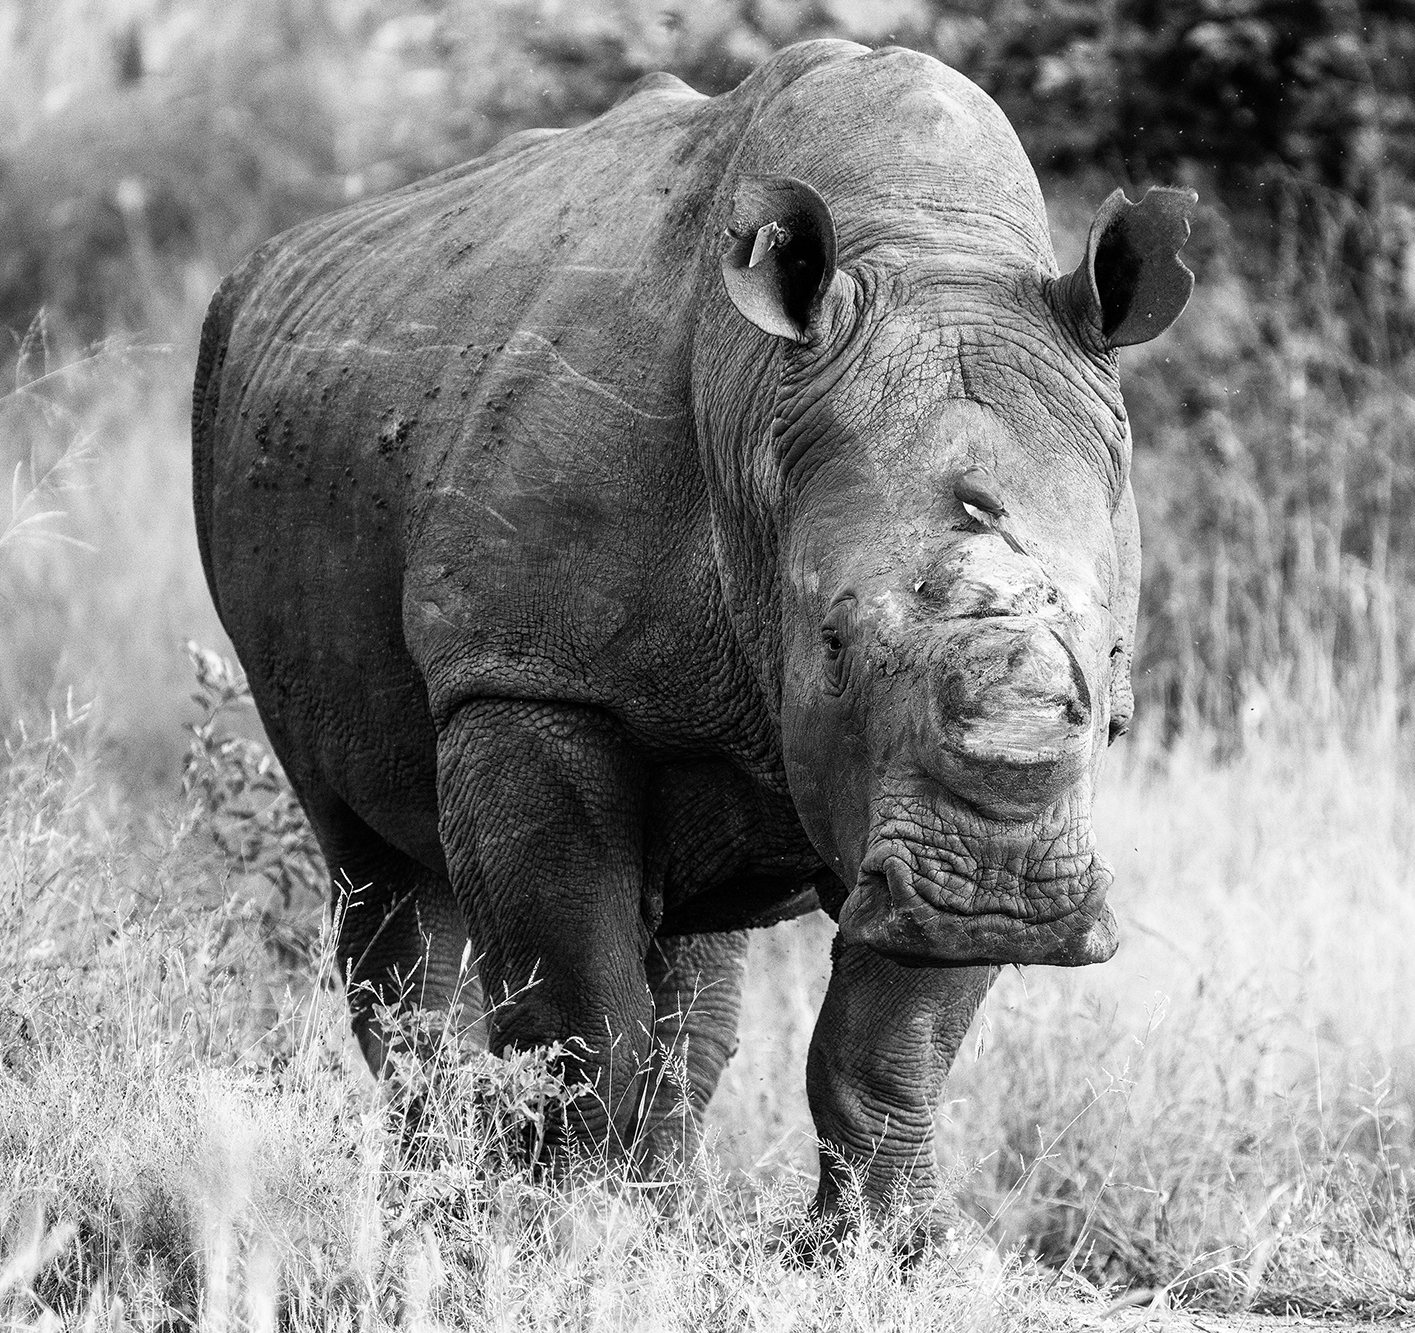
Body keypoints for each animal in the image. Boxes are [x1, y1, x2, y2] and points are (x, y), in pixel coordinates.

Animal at [192, 39, 1194, 1240]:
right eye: (831, 644)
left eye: (1109, 660)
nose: (997, 895)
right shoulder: (528, 676)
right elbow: (581, 1006)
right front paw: (561, 1225)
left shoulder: (981, 801)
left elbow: (891, 1038)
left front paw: (878, 1251)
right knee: (374, 869)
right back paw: (432, 1196)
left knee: (690, 957)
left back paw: (650, 1197)